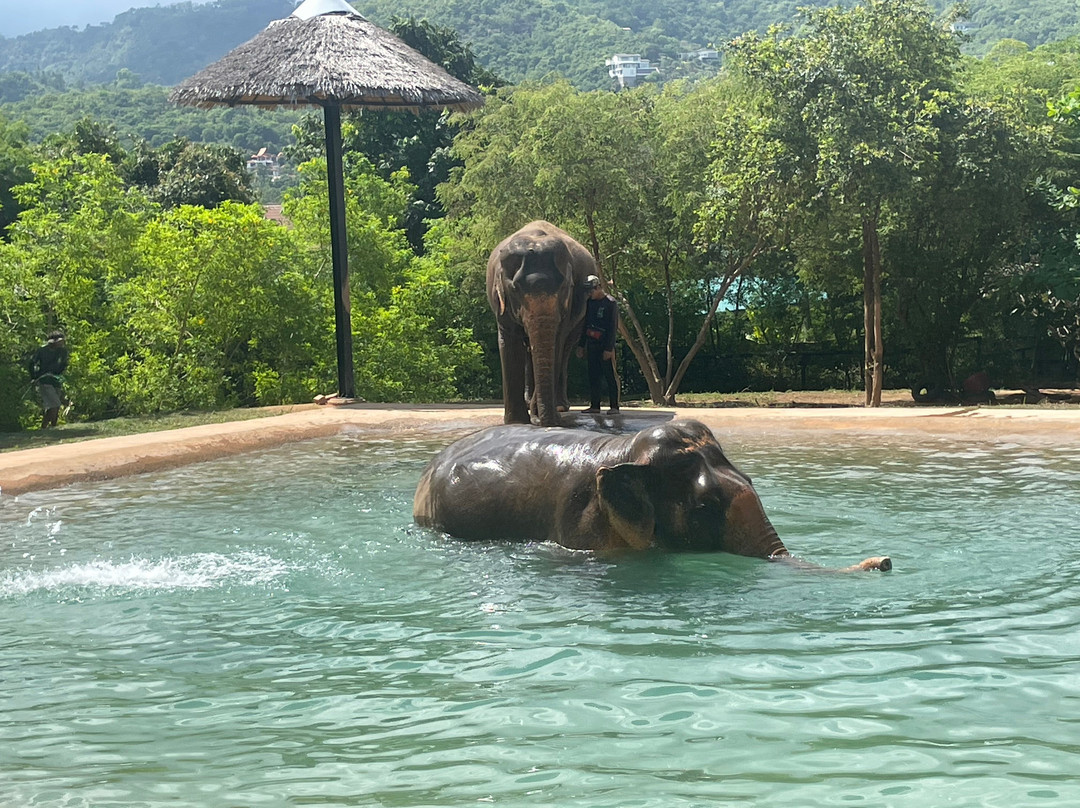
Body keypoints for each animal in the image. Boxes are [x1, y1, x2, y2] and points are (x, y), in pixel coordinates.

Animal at [487, 221, 598, 427]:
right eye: (515, 288)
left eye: (565, 287)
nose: (538, 418)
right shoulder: (499, 301)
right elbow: (509, 341)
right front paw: (516, 422)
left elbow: (557, 342)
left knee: (565, 349)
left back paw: (560, 406)